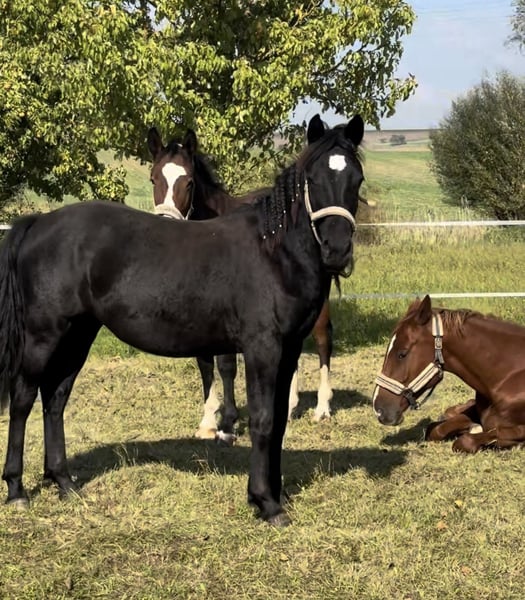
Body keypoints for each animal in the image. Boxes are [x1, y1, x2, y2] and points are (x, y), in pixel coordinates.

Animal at [147, 118, 338, 443]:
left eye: (189, 182)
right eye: (153, 179)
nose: (166, 227)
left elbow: (225, 365)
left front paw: (228, 422)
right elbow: (204, 363)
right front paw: (207, 422)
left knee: (324, 339)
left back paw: (322, 407)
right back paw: (289, 405)